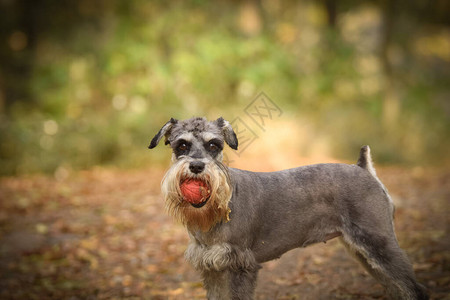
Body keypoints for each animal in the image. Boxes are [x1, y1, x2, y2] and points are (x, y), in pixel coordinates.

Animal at [149, 116, 428, 298]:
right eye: (181, 145)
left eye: (213, 145)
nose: (196, 166)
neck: (218, 207)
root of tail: (363, 168)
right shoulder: (213, 267)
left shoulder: (240, 266)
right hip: (364, 253)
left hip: (379, 243)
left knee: (414, 289)